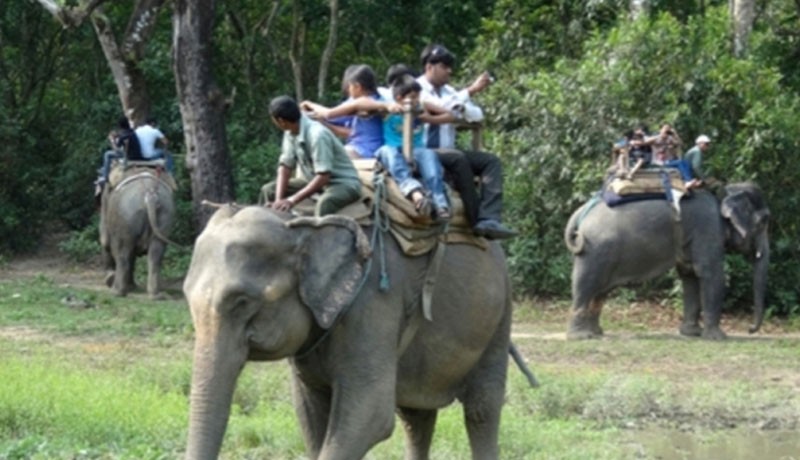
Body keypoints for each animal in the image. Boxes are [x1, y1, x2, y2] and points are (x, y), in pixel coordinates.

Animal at [98, 169, 175, 298]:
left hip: (126, 216)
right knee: (156, 253)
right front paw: (132, 286)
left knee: (122, 252)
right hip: (165, 215)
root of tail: (149, 196)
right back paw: (156, 295)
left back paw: (116, 292)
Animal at [183, 207, 512, 460]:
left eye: (242, 302)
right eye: (186, 296)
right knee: (415, 417)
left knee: (481, 410)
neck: (304, 225)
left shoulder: (373, 304)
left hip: (498, 316)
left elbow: (371, 415)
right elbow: (309, 414)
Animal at [564, 181, 768, 340]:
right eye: (763, 222)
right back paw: (580, 336)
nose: (750, 330)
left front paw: (691, 333)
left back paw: (596, 333)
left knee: (600, 290)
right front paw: (718, 337)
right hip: (593, 250)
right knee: (586, 284)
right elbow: (711, 275)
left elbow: (689, 275)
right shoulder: (708, 230)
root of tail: (581, 212)